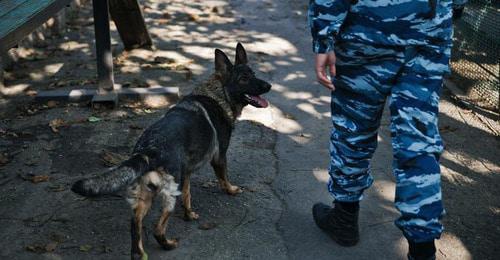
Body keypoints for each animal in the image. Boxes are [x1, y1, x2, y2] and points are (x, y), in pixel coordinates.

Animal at [71, 43, 270, 258]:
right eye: (244, 79)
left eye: (254, 74)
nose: (269, 86)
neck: (219, 94)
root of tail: (148, 150)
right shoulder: (218, 158)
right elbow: (224, 178)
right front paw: (231, 190)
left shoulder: (187, 174)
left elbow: (187, 196)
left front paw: (189, 214)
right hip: (168, 194)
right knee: (158, 228)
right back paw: (168, 244)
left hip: (147, 195)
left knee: (135, 222)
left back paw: (139, 252)